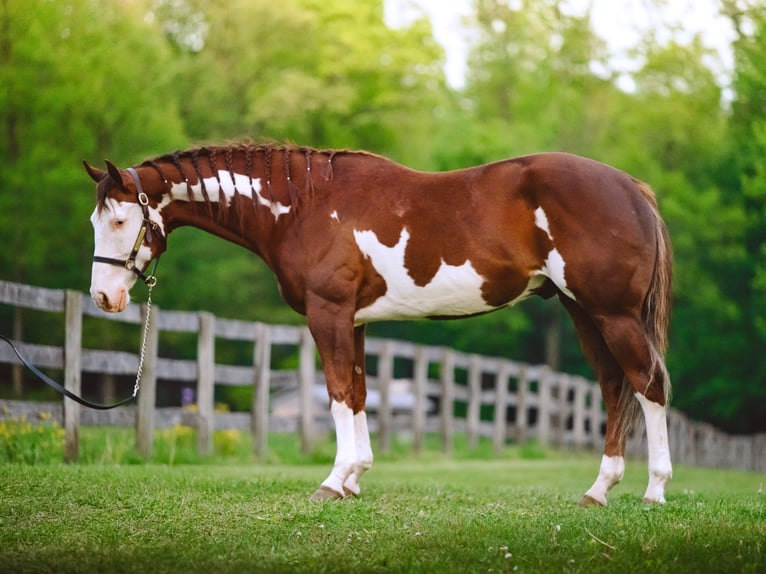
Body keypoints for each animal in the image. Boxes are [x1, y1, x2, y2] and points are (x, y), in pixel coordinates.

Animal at [85, 142, 673, 506]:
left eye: (121, 220)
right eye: (96, 220)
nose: (104, 296)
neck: (303, 207)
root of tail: (633, 188)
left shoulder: (328, 314)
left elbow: (337, 394)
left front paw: (332, 482)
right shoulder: (356, 321)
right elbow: (360, 393)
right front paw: (354, 479)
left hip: (612, 314)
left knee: (649, 385)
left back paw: (653, 491)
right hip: (583, 313)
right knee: (615, 388)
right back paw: (599, 491)